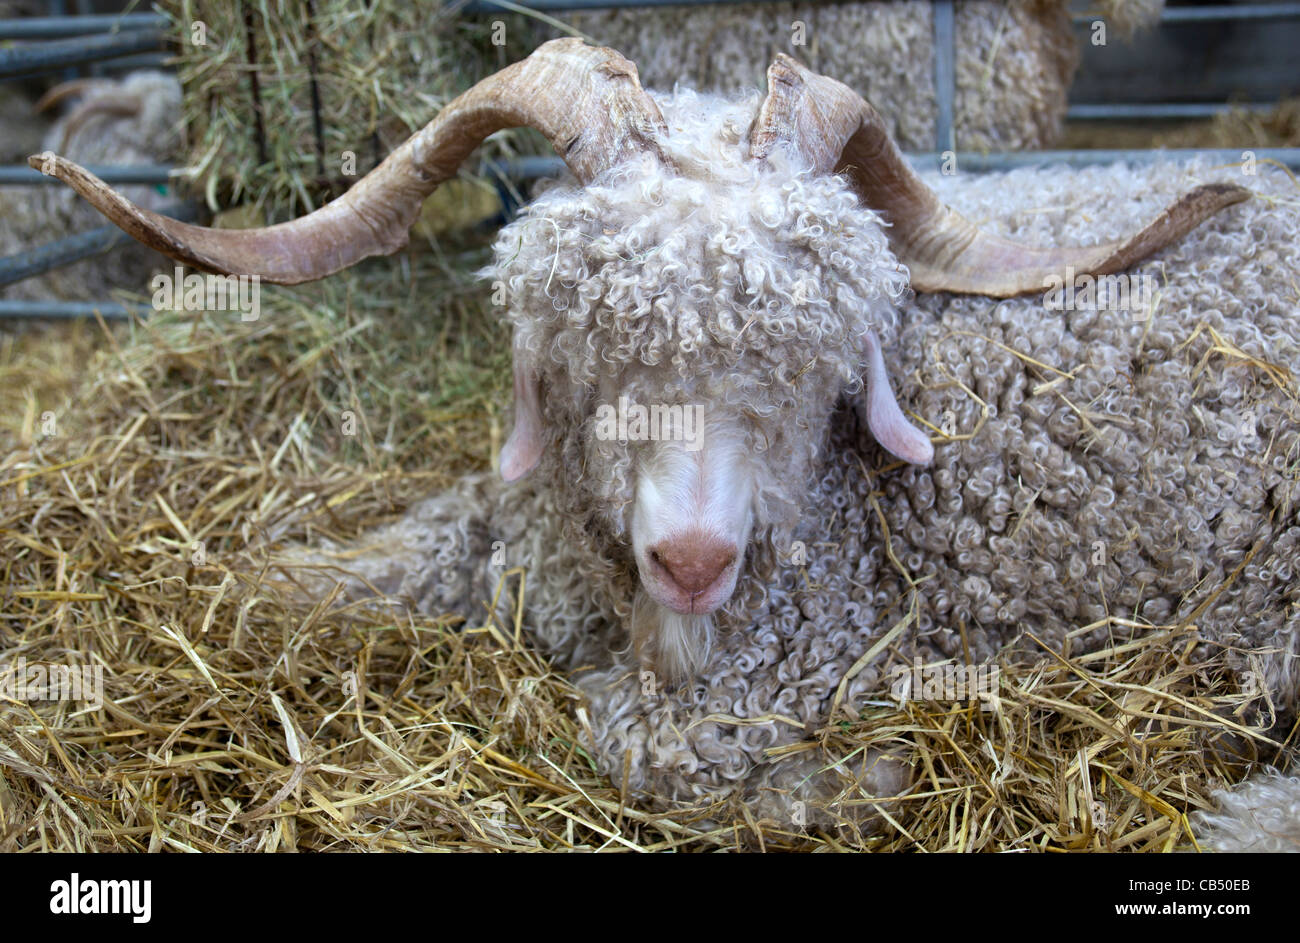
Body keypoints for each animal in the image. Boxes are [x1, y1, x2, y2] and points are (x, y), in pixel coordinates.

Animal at [32, 40, 1300, 842]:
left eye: (811, 368)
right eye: (596, 340)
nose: (694, 563)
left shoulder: (789, 660)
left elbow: (637, 742)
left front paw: (852, 778)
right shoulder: (506, 530)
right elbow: (314, 578)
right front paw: (237, 586)